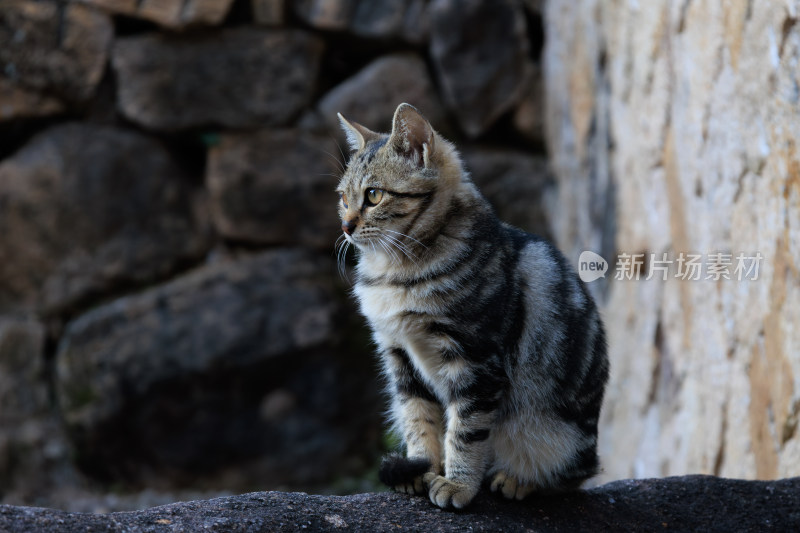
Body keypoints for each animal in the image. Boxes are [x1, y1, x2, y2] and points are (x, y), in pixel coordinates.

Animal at [336, 103, 608, 508]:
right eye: (343, 197)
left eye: (373, 195)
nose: (346, 226)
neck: (397, 270)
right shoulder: (400, 357)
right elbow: (418, 420)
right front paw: (421, 468)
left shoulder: (475, 360)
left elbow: (465, 431)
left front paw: (457, 485)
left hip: (556, 435)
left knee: (573, 474)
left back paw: (516, 479)